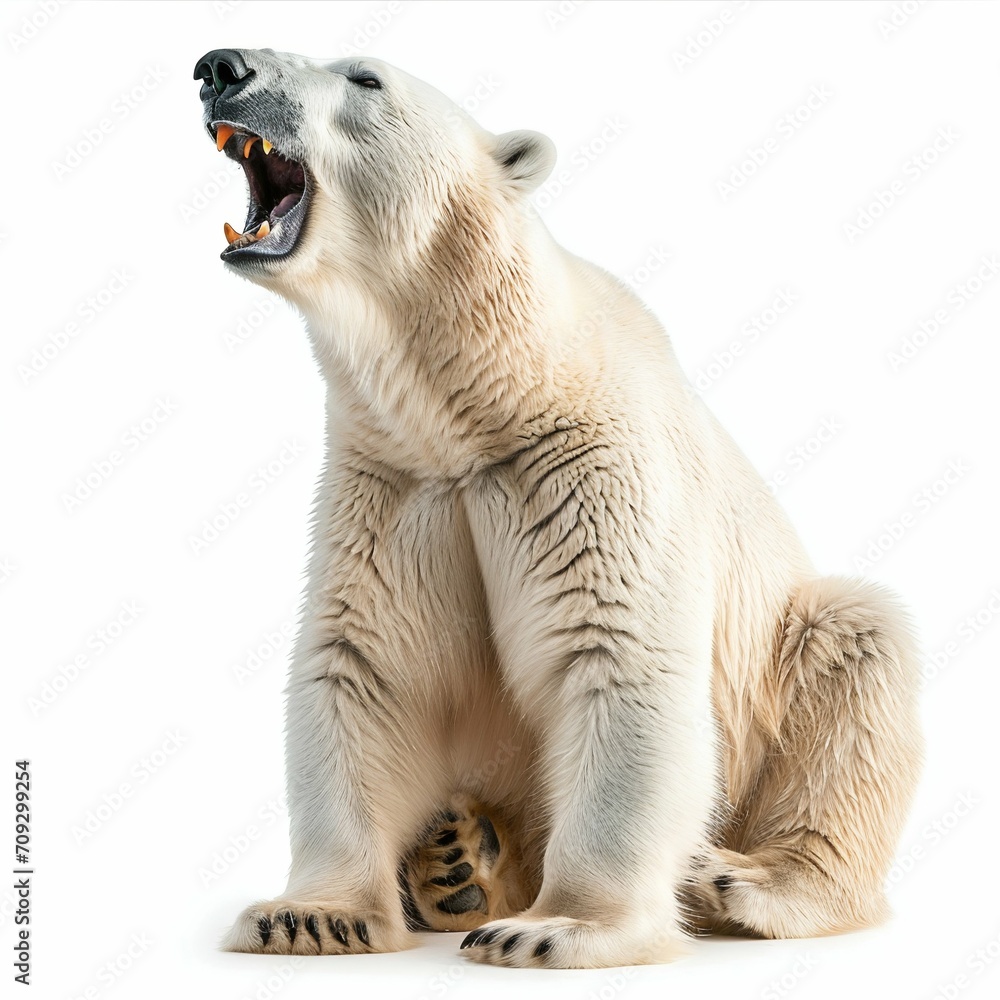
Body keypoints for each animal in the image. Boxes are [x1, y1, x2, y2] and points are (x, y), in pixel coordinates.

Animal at [193, 48, 923, 969]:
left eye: (364, 78)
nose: (220, 66)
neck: (487, 397)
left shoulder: (586, 465)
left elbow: (615, 656)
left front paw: (553, 929)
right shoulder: (394, 485)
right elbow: (365, 664)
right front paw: (308, 916)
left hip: (788, 657)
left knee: (857, 657)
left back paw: (745, 881)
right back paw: (456, 858)